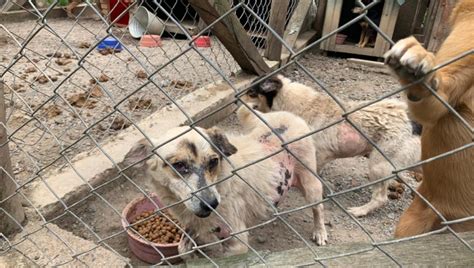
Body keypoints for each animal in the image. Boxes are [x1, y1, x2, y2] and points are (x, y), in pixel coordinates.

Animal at [124, 104, 328, 258]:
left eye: (213, 161)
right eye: (179, 165)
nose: (211, 204)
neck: (221, 183)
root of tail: (289, 116)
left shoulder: (237, 242)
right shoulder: (193, 224)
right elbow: (183, 249)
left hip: (311, 184)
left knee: (318, 208)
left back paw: (320, 232)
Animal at [243, 74, 420, 217]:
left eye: (251, 93)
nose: (236, 103)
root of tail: (411, 119)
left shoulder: (316, 155)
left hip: (379, 166)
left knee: (381, 198)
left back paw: (360, 211)